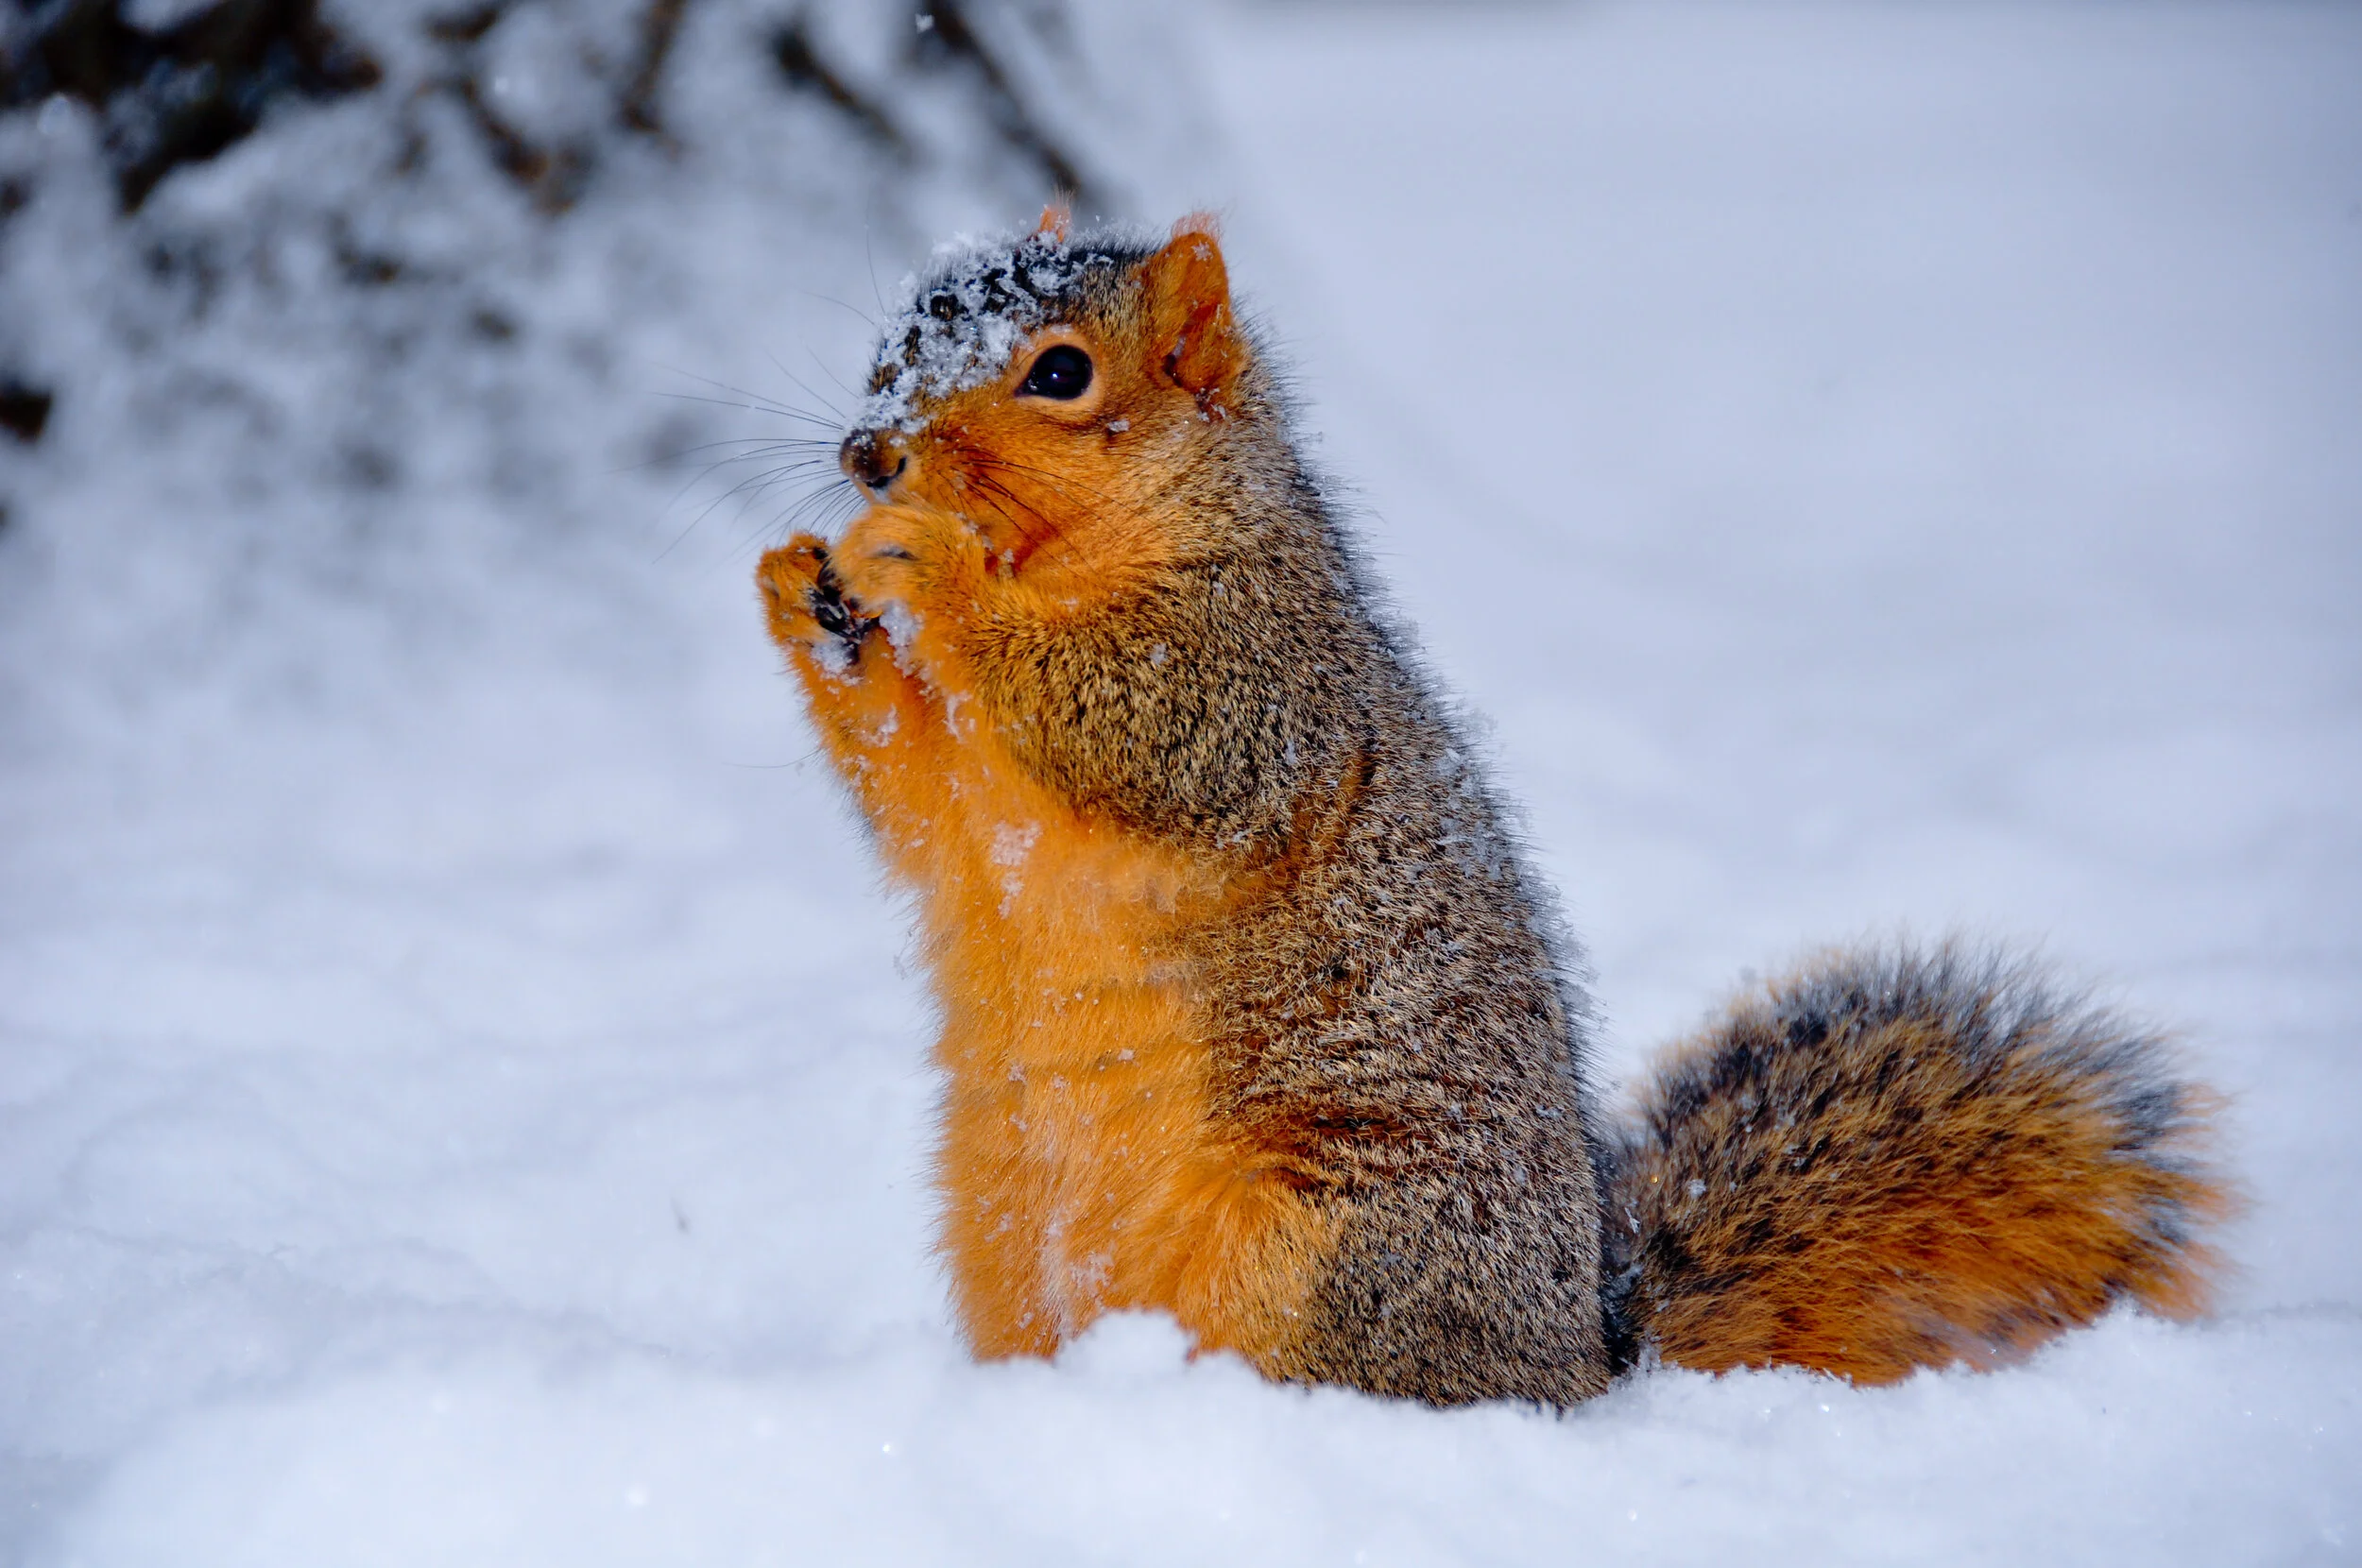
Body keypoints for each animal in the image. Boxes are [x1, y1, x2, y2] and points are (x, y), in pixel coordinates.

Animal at [755, 210, 2233, 1406]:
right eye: (899, 329)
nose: (867, 454)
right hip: (1006, 1234)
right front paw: (799, 589)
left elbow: (1155, 734)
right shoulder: (977, 812)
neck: (1099, 545)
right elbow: (921, 806)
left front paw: (920, 560)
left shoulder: (1265, 673)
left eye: (1060, 372)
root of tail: (1584, 1364)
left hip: (1337, 1247)